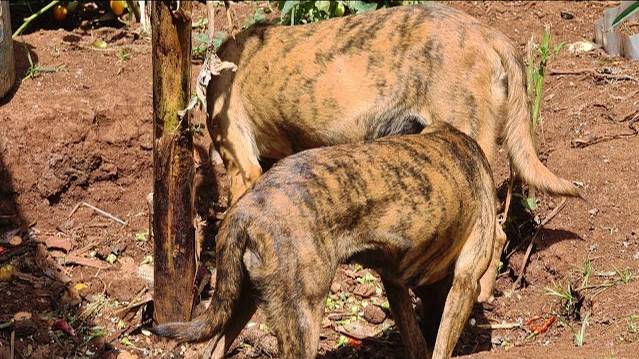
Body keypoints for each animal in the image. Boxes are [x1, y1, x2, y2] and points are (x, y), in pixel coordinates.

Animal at [152, 122, 502, 358]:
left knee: (213, 347)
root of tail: (246, 208)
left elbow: (416, 341)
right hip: (303, 320)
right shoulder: (465, 282)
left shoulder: (396, 283)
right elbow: (442, 345)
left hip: (242, 299)